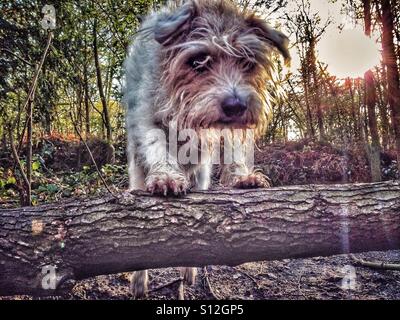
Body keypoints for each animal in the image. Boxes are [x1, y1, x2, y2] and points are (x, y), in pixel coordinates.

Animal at [123, 0, 290, 298]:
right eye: (198, 61)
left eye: (247, 62)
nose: (236, 105)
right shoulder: (145, 114)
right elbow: (156, 141)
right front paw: (166, 175)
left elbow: (235, 147)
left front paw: (243, 177)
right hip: (137, 173)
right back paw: (139, 280)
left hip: (201, 175)